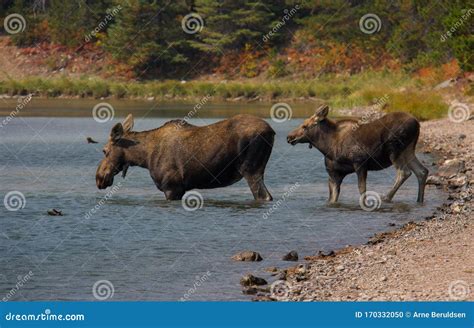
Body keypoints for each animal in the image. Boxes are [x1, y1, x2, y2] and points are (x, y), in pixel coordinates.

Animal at [96, 114, 274, 201]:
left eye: (104, 150)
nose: (99, 177)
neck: (144, 158)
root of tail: (271, 131)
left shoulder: (172, 187)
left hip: (250, 170)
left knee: (263, 196)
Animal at [286, 105, 430, 202]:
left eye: (305, 126)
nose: (289, 137)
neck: (329, 145)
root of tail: (417, 123)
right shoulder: (336, 174)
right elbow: (332, 198)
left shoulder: (360, 163)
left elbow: (362, 189)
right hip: (408, 150)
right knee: (422, 171)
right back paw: (419, 200)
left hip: (394, 151)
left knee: (404, 172)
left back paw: (386, 198)